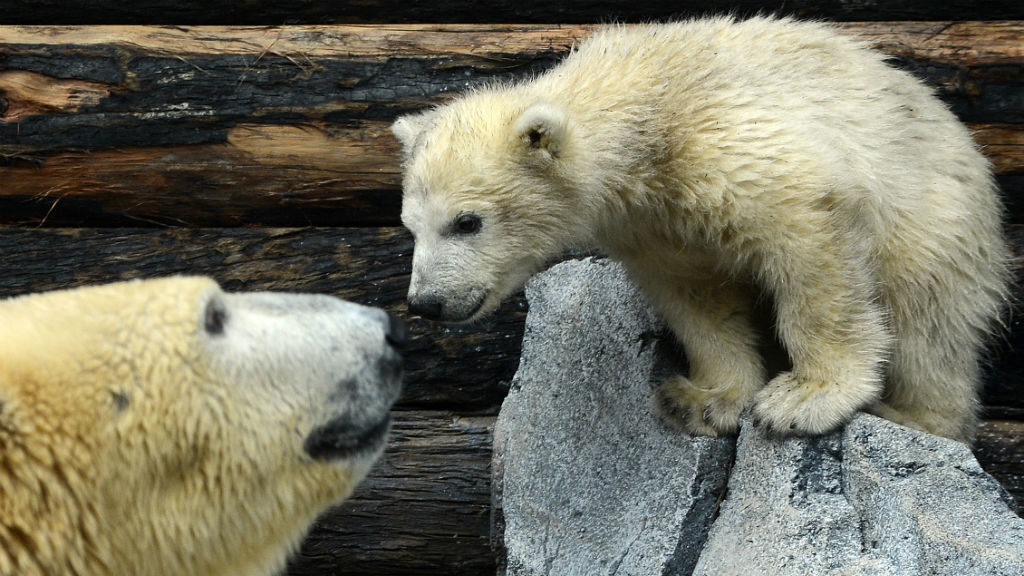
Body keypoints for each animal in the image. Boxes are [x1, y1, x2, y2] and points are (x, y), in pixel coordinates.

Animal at [391, 16, 1007, 438]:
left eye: (466, 222)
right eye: (410, 227)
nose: (427, 302)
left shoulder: (729, 141)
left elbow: (813, 253)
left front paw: (806, 398)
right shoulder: (653, 225)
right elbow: (698, 298)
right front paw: (703, 398)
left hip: (935, 216)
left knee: (927, 317)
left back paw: (918, 414)